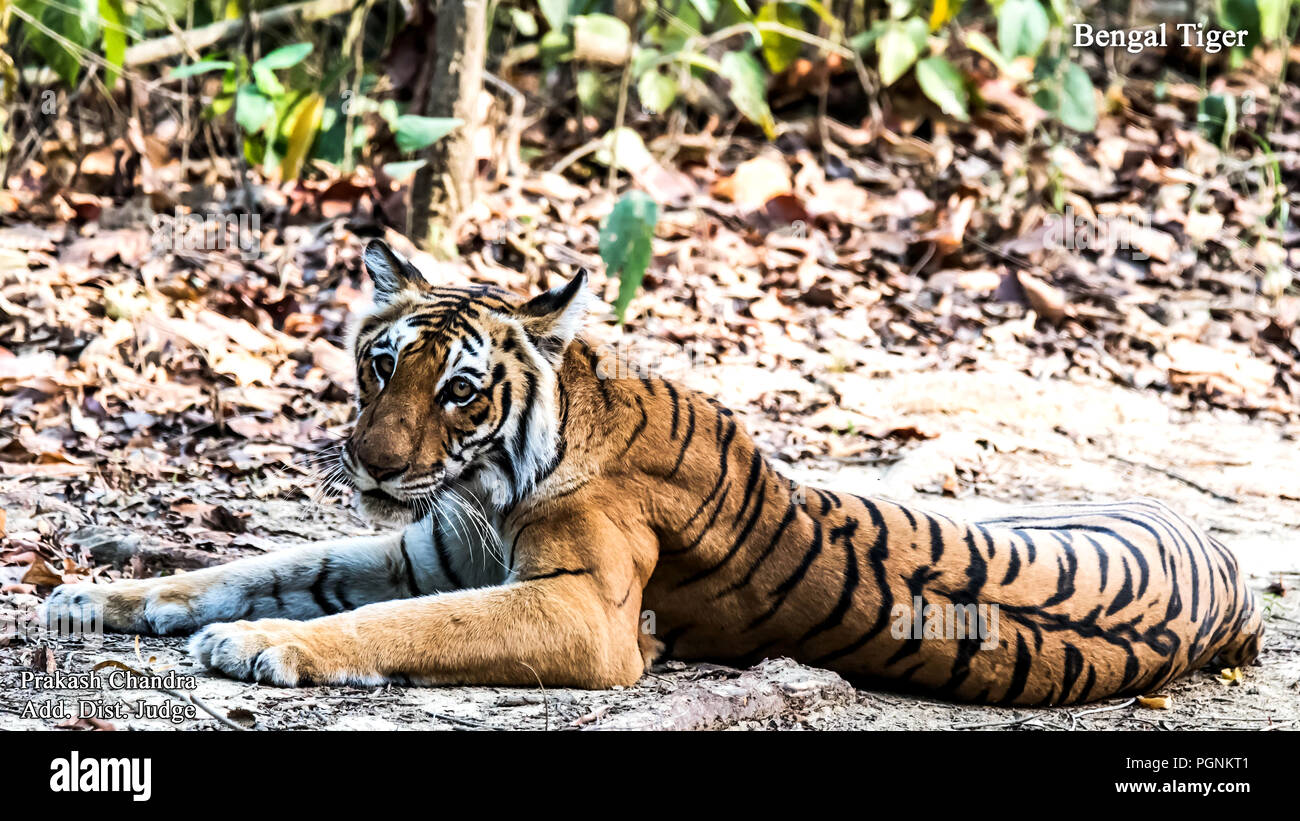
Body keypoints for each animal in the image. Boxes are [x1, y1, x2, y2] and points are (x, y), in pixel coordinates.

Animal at [40, 239, 1258, 706]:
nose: (371, 462)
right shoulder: (421, 545)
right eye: (381, 365)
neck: (485, 490)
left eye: (460, 391)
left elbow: (393, 625)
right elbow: (253, 566)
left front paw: (260, 646)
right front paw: (90, 594)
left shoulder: (583, 611)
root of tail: (1230, 559)